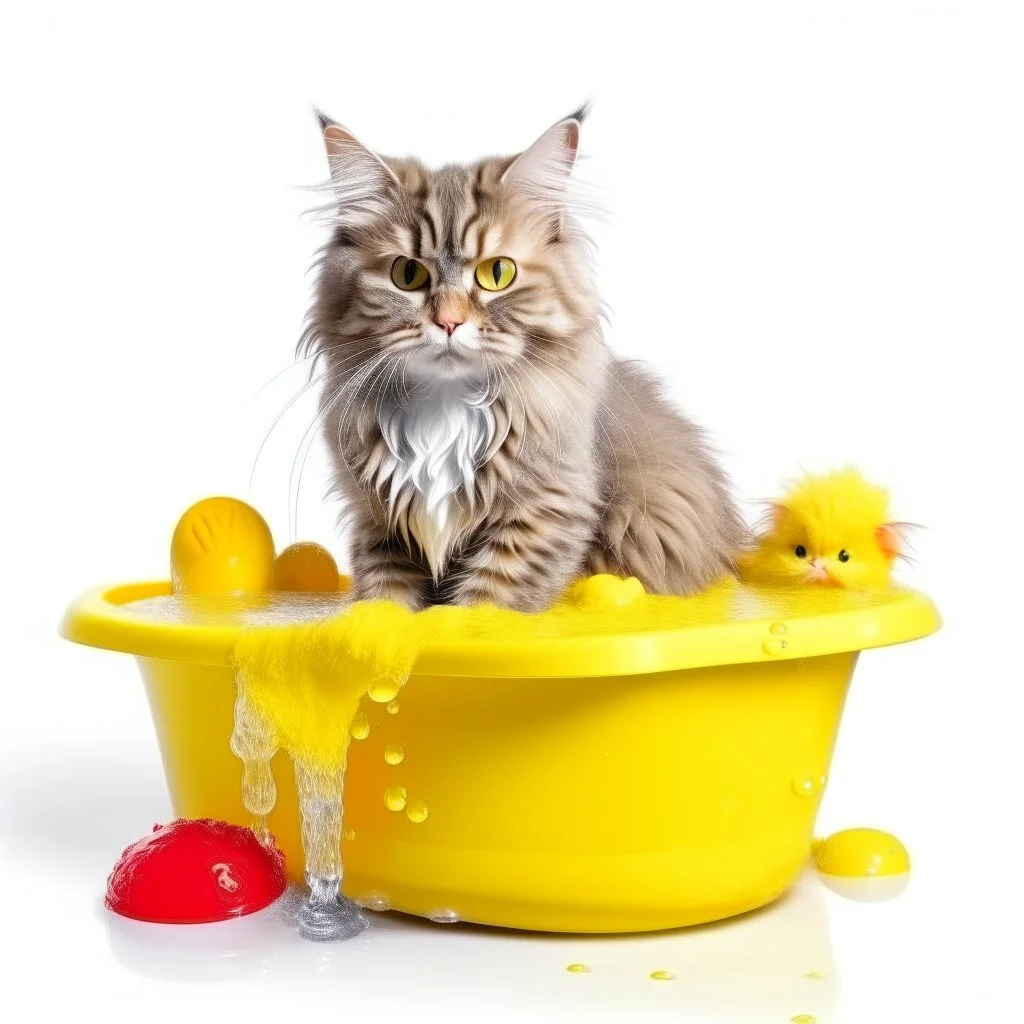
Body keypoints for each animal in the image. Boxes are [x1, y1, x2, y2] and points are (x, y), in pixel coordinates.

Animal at [299, 109, 749, 610]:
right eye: (407, 274)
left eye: (497, 273)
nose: (449, 322)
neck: (445, 410)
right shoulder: (378, 521)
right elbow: (385, 602)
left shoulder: (547, 508)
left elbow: (487, 601)